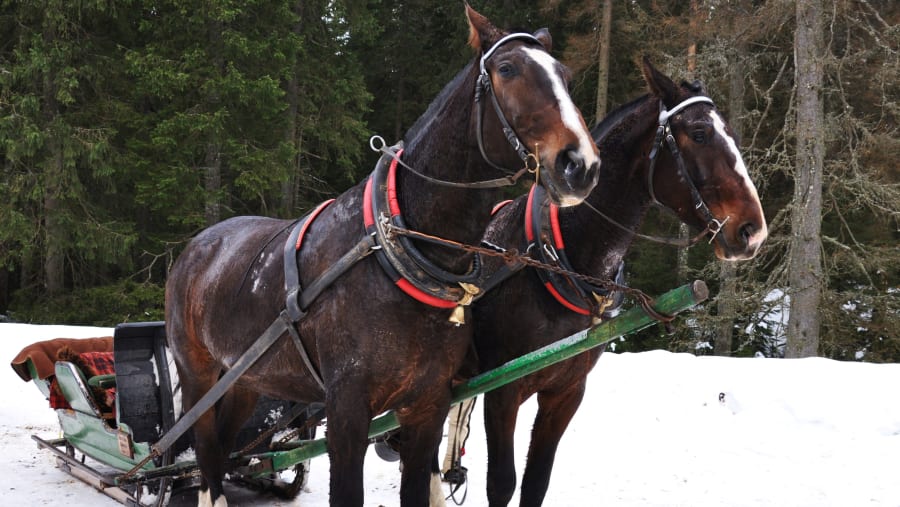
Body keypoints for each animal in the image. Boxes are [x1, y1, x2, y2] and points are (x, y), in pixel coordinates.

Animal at [164, 5, 601, 506]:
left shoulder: (428, 406)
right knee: (208, 457)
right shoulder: (347, 412)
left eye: (565, 76)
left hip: (245, 377)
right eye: (507, 69)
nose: (581, 165)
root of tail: (195, 247)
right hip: (199, 374)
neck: (396, 254)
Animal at [469, 57, 768, 506]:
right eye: (700, 133)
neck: (559, 260)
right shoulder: (501, 392)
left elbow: (536, 481)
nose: (753, 231)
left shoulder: (566, 393)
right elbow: (501, 483)